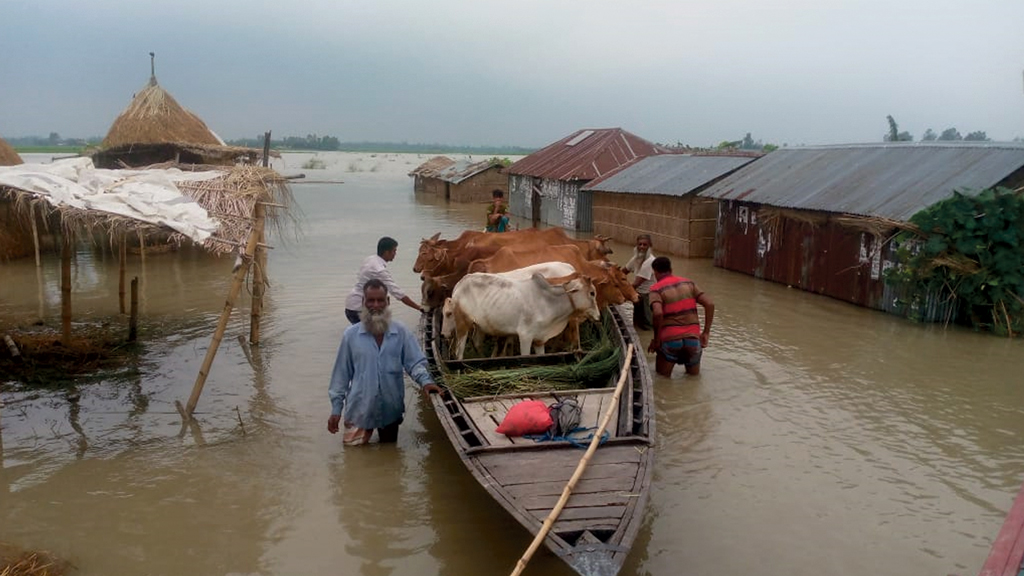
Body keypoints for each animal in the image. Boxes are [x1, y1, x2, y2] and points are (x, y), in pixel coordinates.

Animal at [440, 266, 598, 356]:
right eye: (592, 293)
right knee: (459, 352)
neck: (548, 301)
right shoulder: (525, 336)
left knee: (477, 343)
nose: (598, 315)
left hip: (479, 326)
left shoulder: (540, 340)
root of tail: (460, 283)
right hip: (462, 325)